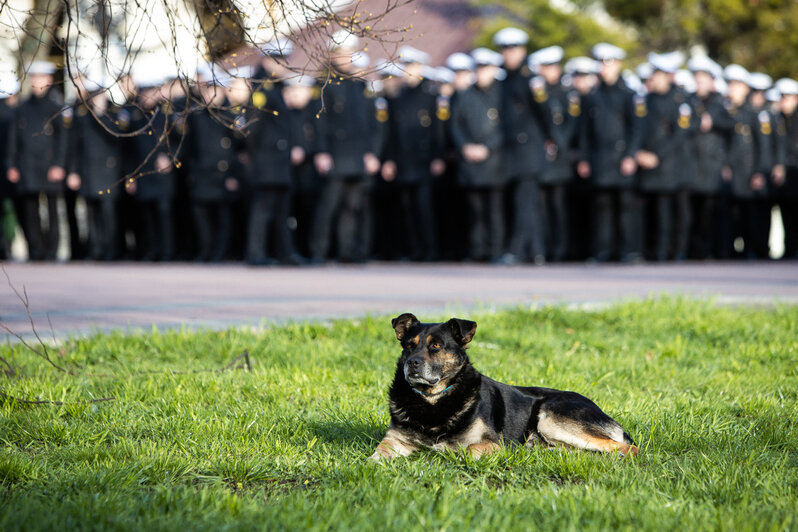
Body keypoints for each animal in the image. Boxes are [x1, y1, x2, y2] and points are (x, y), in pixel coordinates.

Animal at [372, 314, 640, 460]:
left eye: (436, 346)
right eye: (408, 345)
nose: (412, 363)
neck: (432, 400)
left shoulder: (492, 443)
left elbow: (467, 449)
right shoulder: (394, 441)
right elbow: (375, 457)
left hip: (551, 417)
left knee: (627, 447)